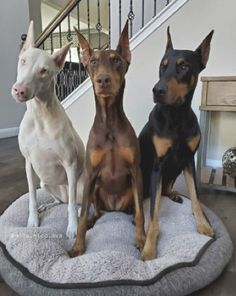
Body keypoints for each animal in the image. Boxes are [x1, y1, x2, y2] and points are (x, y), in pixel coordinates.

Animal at [11, 20, 85, 239]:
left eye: (44, 71)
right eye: (23, 61)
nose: (19, 90)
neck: (40, 115)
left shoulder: (70, 164)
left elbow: (71, 206)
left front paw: (72, 228)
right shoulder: (28, 163)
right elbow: (32, 196)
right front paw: (33, 220)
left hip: (82, 182)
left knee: (76, 202)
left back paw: (81, 211)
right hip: (46, 183)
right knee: (61, 201)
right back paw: (49, 205)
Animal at [69, 21, 146, 256]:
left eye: (117, 61)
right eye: (93, 61)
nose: (103, 80)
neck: (110, 122)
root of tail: (114, 207)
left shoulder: (135, 171)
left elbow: (141, 211)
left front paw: (142, 239)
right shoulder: (91, 173)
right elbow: (81, 214)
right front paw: (78, 245)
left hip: (132, 188)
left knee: (135, 209)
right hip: (95, 188)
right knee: (96, 211)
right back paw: (93, 220)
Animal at [139, 27, 215, 260]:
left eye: (183, 66)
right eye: (162, 66)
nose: (157, 90)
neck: (177, 116)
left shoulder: (189, 160)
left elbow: (196, 198)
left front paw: (203, 225)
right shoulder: (157, 166)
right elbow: (153, 214)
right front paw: (149, 247)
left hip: (175, 169)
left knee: (166, 189)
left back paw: (173, 194)